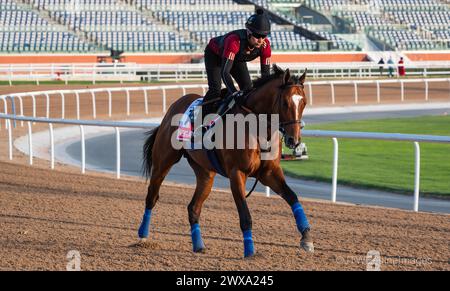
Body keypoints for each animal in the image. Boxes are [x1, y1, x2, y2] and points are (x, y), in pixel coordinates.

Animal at [137, 65, 312, 258]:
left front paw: (306, 237)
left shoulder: (269, 172)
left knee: (193, 208)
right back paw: (143, 236)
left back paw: (198, 245)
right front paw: (249, 251)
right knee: (152, 196)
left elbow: (293, 197)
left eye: (303, 103)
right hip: (163, 162)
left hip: (205, 173)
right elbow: (245, 216)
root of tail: (173, 107)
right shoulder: (237, 173)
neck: (256, 127)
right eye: (286, 103)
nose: (294, 140)